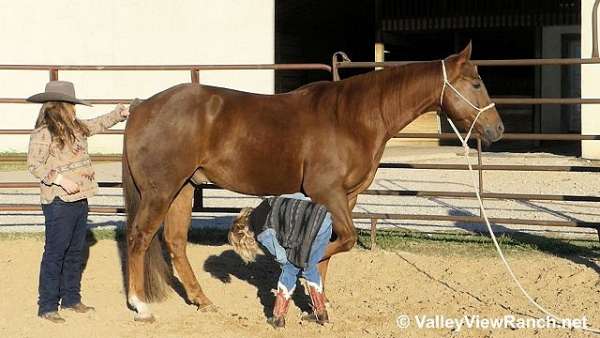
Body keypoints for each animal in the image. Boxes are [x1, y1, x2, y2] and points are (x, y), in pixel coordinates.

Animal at [124, 43, 504, 320]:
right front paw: (300, 280)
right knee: (139, 238)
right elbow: (343, 241)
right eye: (476, 83)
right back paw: (140, 305)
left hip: (184, 188)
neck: (353, 118)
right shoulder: (328, 192)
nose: (497, 130)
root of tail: (143, 106)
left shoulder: (345, 198)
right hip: (161, 191)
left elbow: (331, 248)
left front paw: (317, 302)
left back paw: (203, 300)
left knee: (175, 242)